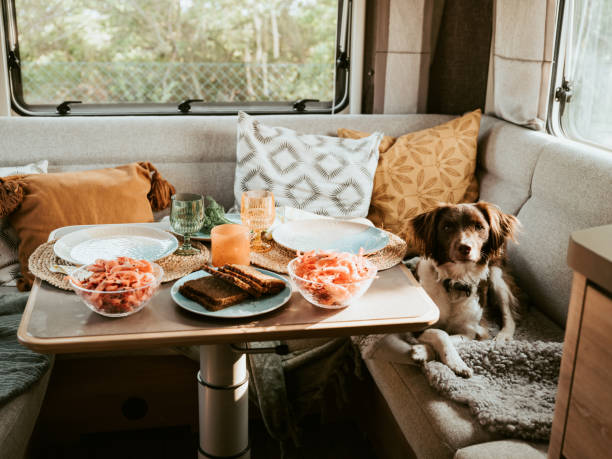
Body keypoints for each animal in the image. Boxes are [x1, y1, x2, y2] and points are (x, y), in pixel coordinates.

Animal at [404, 201, 524, 378]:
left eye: (479, 226)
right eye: (447, 227)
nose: (465, 248)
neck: (455, 283)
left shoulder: (470, 331)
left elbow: (448, 336)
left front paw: (430, 353)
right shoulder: (419, 326)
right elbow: (440, 333)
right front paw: (455, 363)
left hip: (497, 276)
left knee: (509, 315)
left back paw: (503, 338)